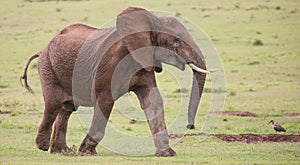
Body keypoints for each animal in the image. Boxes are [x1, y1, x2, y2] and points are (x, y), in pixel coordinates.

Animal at [21, 6, 210, 156]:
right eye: (177, 41)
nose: (190, 126)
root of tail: (41, 50)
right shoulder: (110, 64)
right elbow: (105, 100)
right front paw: (86, 151)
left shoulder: (144, 61)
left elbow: (153, 101)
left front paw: (168, 154)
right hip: (48, 67)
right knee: (54, 104)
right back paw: (43, 146)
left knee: (67, 108)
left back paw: (62, 151)